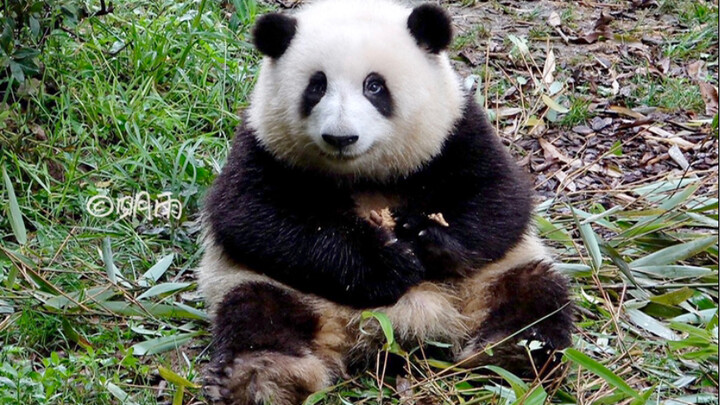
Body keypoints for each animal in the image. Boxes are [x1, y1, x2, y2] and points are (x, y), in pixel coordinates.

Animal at [196, 0, 573, 404]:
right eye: (317, 85)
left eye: (374, 85)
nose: (340, 137)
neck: (364, 174)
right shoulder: (264, 147)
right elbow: (254, 218)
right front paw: (385, 264)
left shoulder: (456, 130)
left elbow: (500, 200)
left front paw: (425, 239)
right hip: (282, 288)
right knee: (258, 312)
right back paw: (264, 377)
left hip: (489, 278)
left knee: (533, 295)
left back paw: (514, 354)